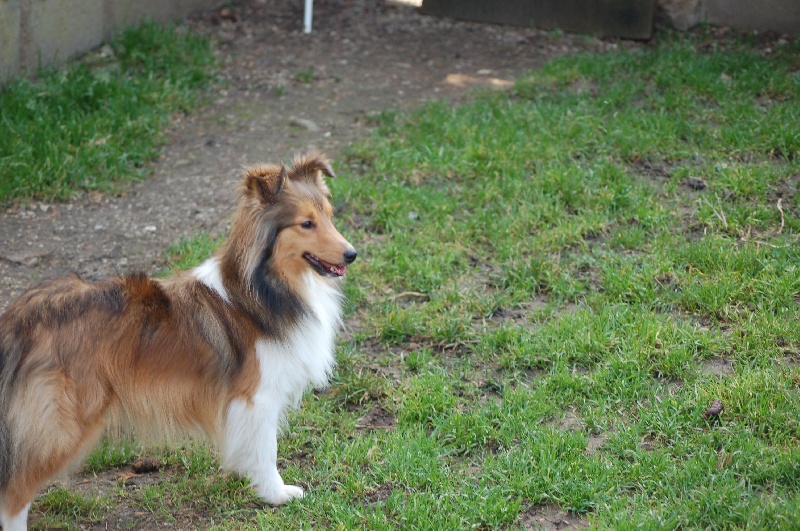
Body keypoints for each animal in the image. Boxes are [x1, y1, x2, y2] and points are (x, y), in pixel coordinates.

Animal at [0, 152, 356, 528]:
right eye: (306, 223)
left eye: (329, 216)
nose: (352, 254)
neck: (264, 289)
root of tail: (21, 317)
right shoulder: (256, 398)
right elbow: (266, 449)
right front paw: (276, 494)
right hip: (62, 426)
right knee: (14, 492)